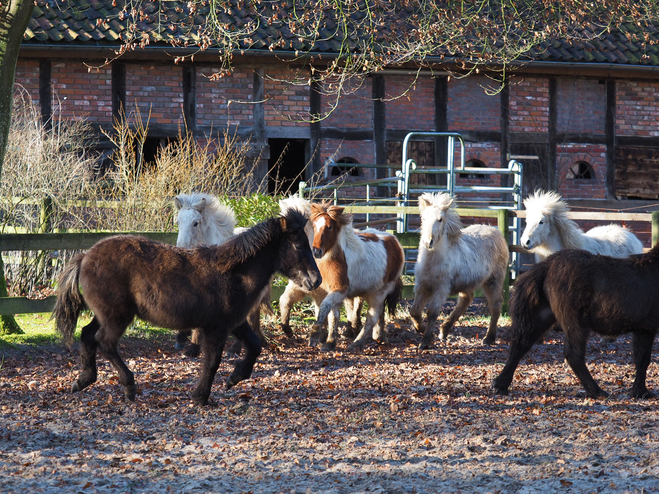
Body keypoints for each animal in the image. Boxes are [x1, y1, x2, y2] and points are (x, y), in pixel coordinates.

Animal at [54, 208, 322, 406]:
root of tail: (85, 257)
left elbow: (255, 346)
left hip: (105, 314)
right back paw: (129, 387)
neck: (234, 273)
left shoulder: (235, 323)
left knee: (88, 335)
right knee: (105, 341)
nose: (316, 280)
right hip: (117, 316)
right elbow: (212, 361)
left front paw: (234, 379)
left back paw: (83, 380)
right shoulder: (216, 328)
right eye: (299, 245)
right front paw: (201, 397)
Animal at [174, 191, 272, 356]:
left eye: (195, 223)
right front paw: (185, 341)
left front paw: (193, 348)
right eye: (178, 222)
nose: (181, 248)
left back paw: (236, 348)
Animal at [310, 202, 408, 352]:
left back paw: (357, 343)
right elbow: (333, 317)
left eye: (330, 227)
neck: (337, 258)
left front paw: (315, 333)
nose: (316, 251)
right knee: (377, 315)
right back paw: (379, 336)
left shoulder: (339, 291)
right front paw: (329, 342)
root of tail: (394, 241)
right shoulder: (331, 292)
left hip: (378, 293)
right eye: (314, 225)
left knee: (371, 318)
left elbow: (324, 307)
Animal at [412, 193, 510, 348]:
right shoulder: (421, 286)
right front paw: (420, 328)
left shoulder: (441, 288)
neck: (432, 262)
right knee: (466, 299)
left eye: (440, 219)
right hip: (467, 283)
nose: (428, 242)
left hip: (493, 281)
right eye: (424, 218)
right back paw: (444, 330)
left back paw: (489, 338)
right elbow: (415, 311)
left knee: (495, 306)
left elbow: (432, 312)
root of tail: (497, 233)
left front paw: (426, 341)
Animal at [496, 245, 659, 400]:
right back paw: (596, 391)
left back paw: (500, 385)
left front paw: (640, 392)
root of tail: (546, 266)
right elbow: (644, 360)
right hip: (576, 322)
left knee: (520, 346)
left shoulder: (643, 329)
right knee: (574, 354)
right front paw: (642, 392)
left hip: (542, 317)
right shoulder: (648, 329)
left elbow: (641, 359)